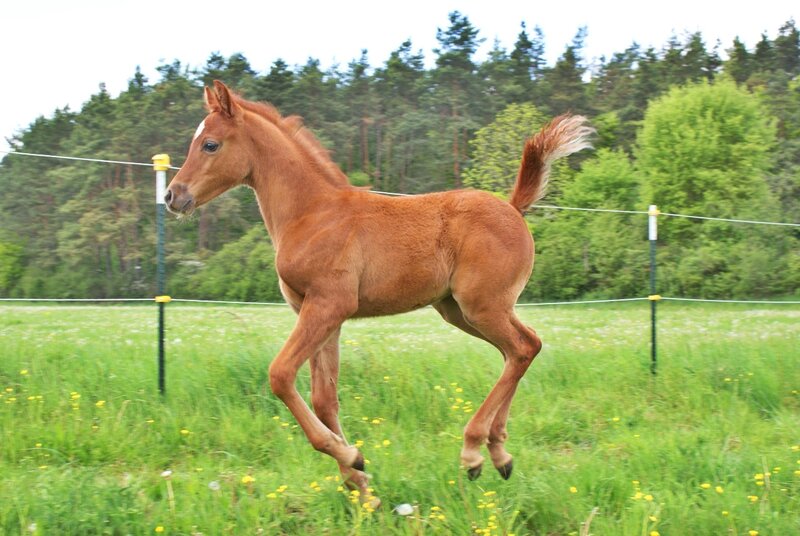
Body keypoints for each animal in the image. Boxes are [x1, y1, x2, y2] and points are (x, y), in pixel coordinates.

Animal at [165, 80, 592, 508]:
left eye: (210, 145)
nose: (172, 196)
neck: (312, 213)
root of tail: (513, 207)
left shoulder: (329, 305)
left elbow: (280, 375)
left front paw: (351, 457)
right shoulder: (319, 314)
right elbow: (324, 398)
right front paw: (360, 483)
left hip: (482, 306)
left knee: (521, 348)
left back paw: (473, 452)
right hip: (459, 310)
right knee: (522, 349)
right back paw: (499, 452)